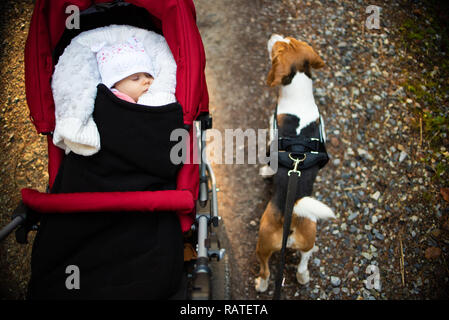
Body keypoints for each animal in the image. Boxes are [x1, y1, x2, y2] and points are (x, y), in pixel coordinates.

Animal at [254, 35, 334, 292]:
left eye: (280, 45)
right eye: (293, 39)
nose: (274, 36)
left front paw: (264, 172)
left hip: (262, 243)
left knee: (266, 271)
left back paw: (261, 284)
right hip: (309, 236)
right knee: (304, 261)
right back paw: (303, 276)